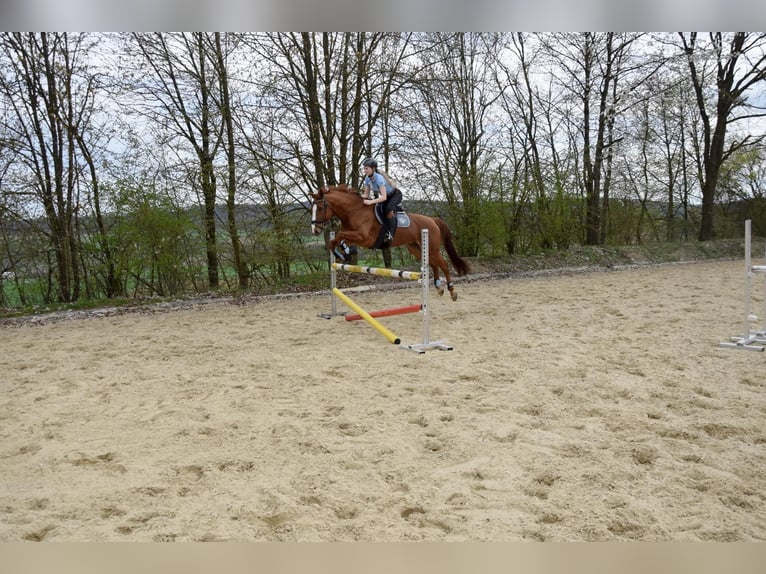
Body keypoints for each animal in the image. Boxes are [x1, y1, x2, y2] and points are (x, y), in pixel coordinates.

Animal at [308, 184, 472, 302]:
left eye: (321, 207)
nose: (315, 230)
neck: (354, 212)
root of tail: (432, 220)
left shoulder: (365, 238)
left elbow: (339, 236)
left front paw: (344, 253)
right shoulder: (354, 236)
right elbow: (337, 240)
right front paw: (344, 253)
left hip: (432, 247)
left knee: (443, 264)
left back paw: (452, 291)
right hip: (415, 248)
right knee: (432, 264)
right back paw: (439, 288)